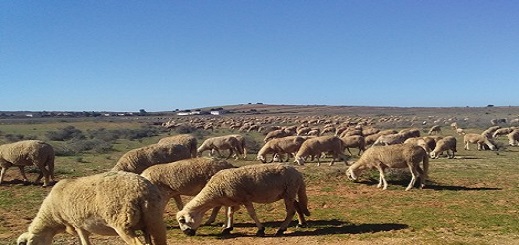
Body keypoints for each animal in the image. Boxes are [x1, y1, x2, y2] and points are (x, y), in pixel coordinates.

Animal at [177, 164, 310, 236]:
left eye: (182, 220)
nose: (186, 233)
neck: (215, 190)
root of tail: (298, 173)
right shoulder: (233, 200)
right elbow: (230, 213)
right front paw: (228, 228)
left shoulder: (245, 198)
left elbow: (252, 214)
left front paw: (260, 230)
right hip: (288, 193)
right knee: (297, 206)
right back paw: (300, 223)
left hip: (289, 191)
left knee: (290, 211)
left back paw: (281, 229)